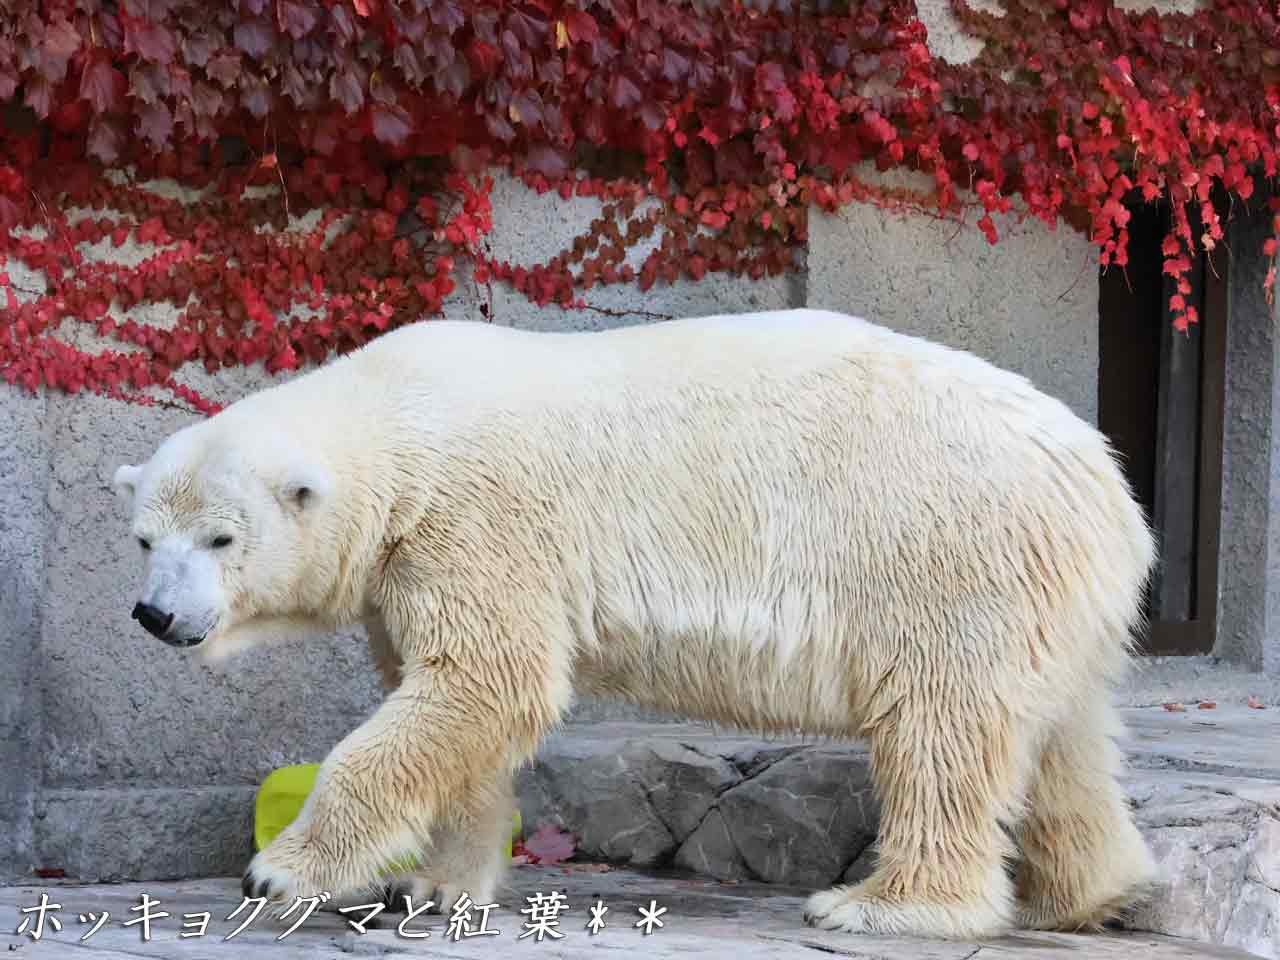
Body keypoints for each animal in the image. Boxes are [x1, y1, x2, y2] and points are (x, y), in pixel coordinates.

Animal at [115, 308, 1167, 942]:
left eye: (222, 537)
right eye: (143, 540)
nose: (157, 614)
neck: (397, 424)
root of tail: (1103, 482)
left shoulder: (475, 519)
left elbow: (483, 682)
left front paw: (280, 873)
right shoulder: (406, 566)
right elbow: (459, 711)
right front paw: (437, 885)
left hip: (946, 557)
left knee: (941, 729)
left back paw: (884, 905)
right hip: (1045, 595)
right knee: (1066, 736)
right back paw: (1087, 889)